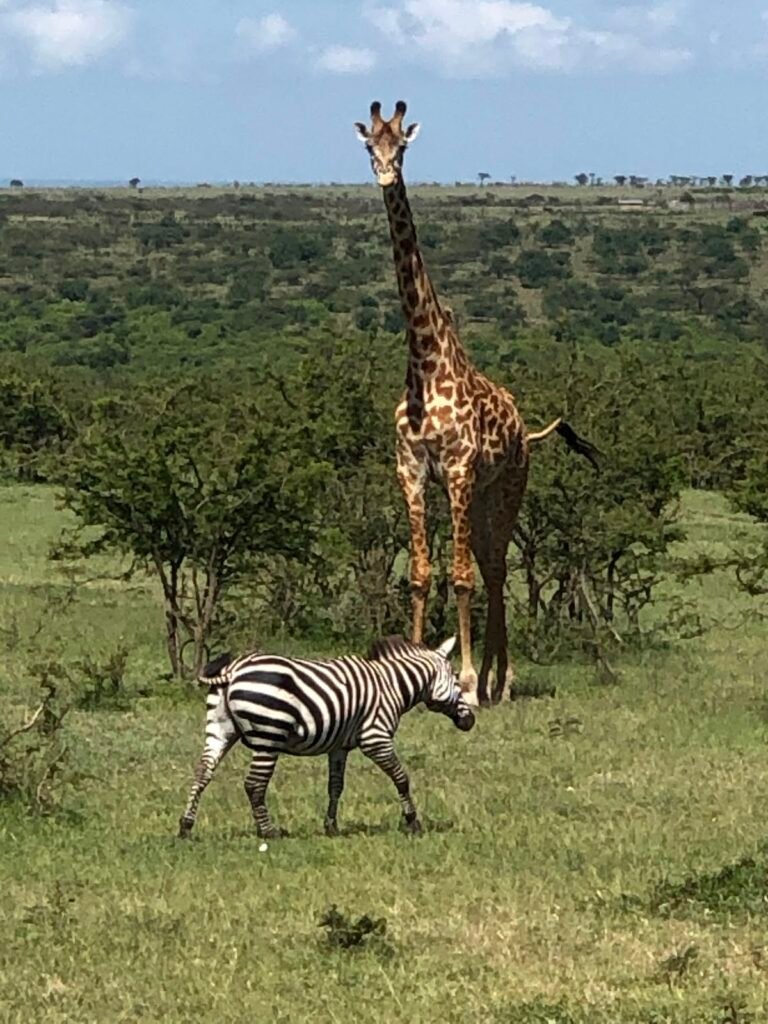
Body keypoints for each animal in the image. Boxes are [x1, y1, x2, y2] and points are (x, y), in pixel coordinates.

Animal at [178, 635, 475, 839]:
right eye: (457, 679)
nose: (470, 720)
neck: (392, 685)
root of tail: (234, 669)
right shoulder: (376, 738)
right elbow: (401, 778)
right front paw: (413, 822)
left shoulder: (339, 746)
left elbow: (335, 786)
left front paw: (331, 826)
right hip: (268, 736)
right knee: (254, 785)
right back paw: (268, 831)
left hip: (220, 730)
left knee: (203, 773)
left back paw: (185, 827)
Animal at [354, 100, 598, 706]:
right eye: (370, 146)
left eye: (403, 146)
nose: (386, 175)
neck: (425, 364)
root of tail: (526, 431)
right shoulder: (412, 471)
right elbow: (421, 574)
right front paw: (412, 670)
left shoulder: (460, 471)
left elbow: (460, 576)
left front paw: (462, 679)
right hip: (484, 496)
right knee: (490, 565)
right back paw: (492, 677)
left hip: (506, 487)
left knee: (491, 570)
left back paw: (497, 681)